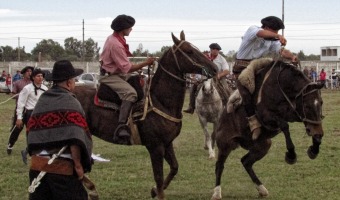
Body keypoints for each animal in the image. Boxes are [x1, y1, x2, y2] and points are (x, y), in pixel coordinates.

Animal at [74, 30, 218, 199]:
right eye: (189, 51)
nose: (214, 68)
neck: (160, 101)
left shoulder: (167, 143)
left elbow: (174, 167)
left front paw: (154, 190)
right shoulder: (155, 147)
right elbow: (158, 176)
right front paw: (158, 192)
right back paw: (92, 189)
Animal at [210, 58, 324, 199]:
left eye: (321, 103)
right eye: (307, 106)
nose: (318, 132)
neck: (280, 88)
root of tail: (222, 117)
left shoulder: (293, 114)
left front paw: (314, 148)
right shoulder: (267, 116)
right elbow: (285, 126)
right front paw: (291, 155)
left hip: (263, 145)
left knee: (246, 162)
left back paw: (261, 189)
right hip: (225, 145)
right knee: (219, 166)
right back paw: (216, 192)